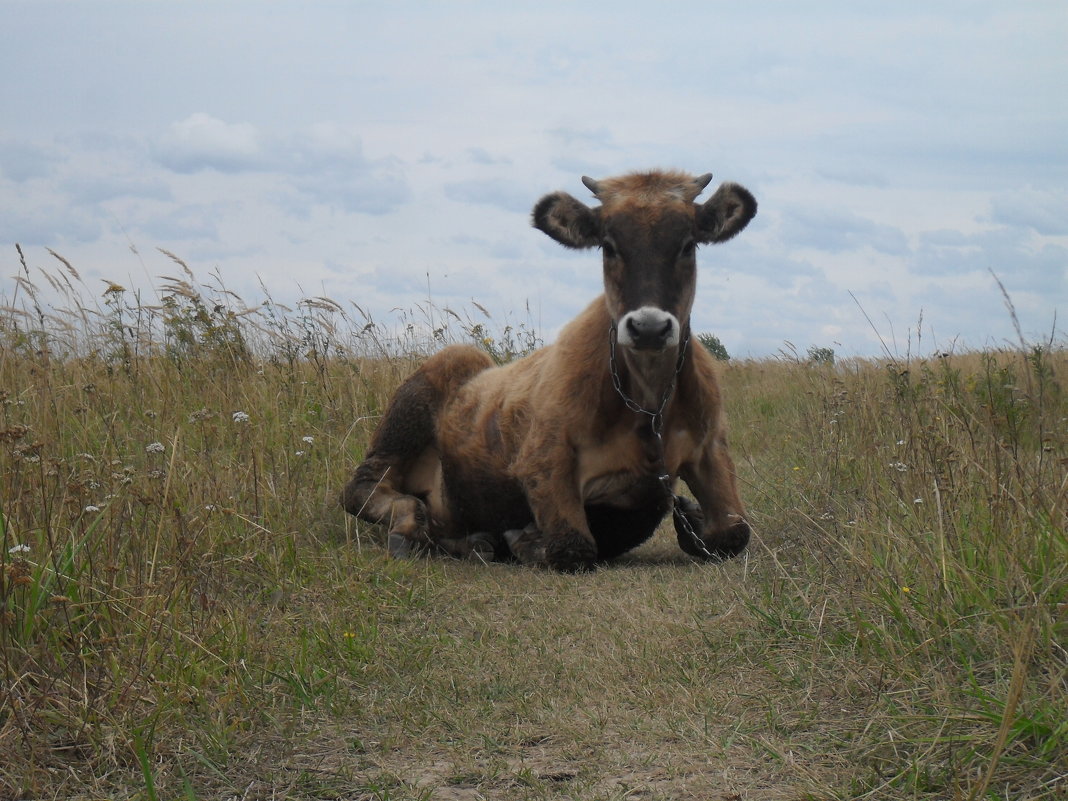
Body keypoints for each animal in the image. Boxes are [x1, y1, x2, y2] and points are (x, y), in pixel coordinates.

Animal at [337, 167, 756, 572]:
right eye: (608, 245)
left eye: (688, 244)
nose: (649, 327)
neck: (648, 404)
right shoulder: (542, 457)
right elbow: (573, 547)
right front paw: (528, 543)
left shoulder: (711, 448)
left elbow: (734, 533)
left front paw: (693, 517)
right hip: (427, 392)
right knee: (361, 489)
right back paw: (411, 528)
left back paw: (474, 543)